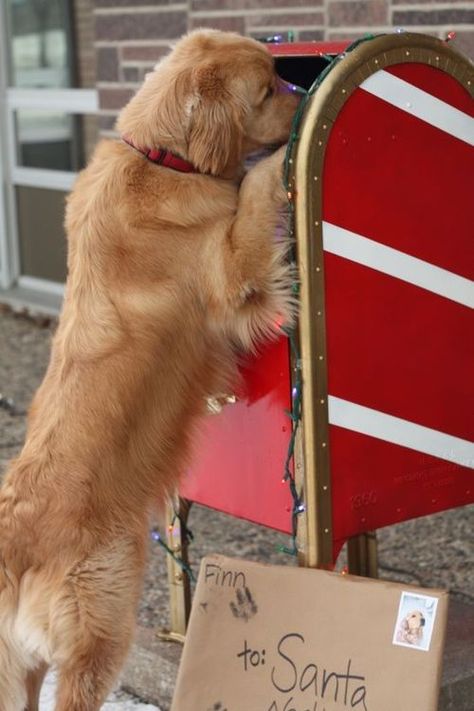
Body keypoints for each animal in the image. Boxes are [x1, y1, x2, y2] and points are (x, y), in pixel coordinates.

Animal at [0, 29, 296, 711]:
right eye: (267, 88)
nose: (303, 89)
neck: (163, 157)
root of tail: (16, 547)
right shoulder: (232, 275)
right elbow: (251, 195)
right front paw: (272, 162)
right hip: (103, 620)